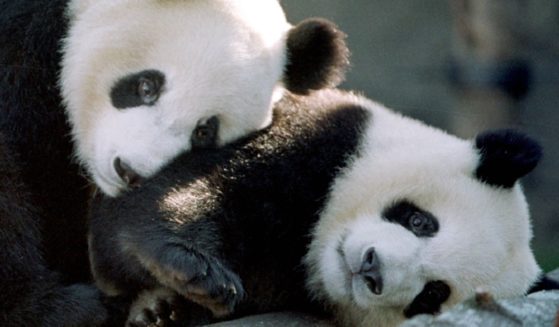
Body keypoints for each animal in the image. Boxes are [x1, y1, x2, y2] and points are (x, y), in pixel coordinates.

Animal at [89, 88, 544, 326]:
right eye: (419, 221)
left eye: (432, 294)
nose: (372, 268)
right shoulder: (318, 134)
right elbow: (187, 190)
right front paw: (197, 271)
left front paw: (164, 308)